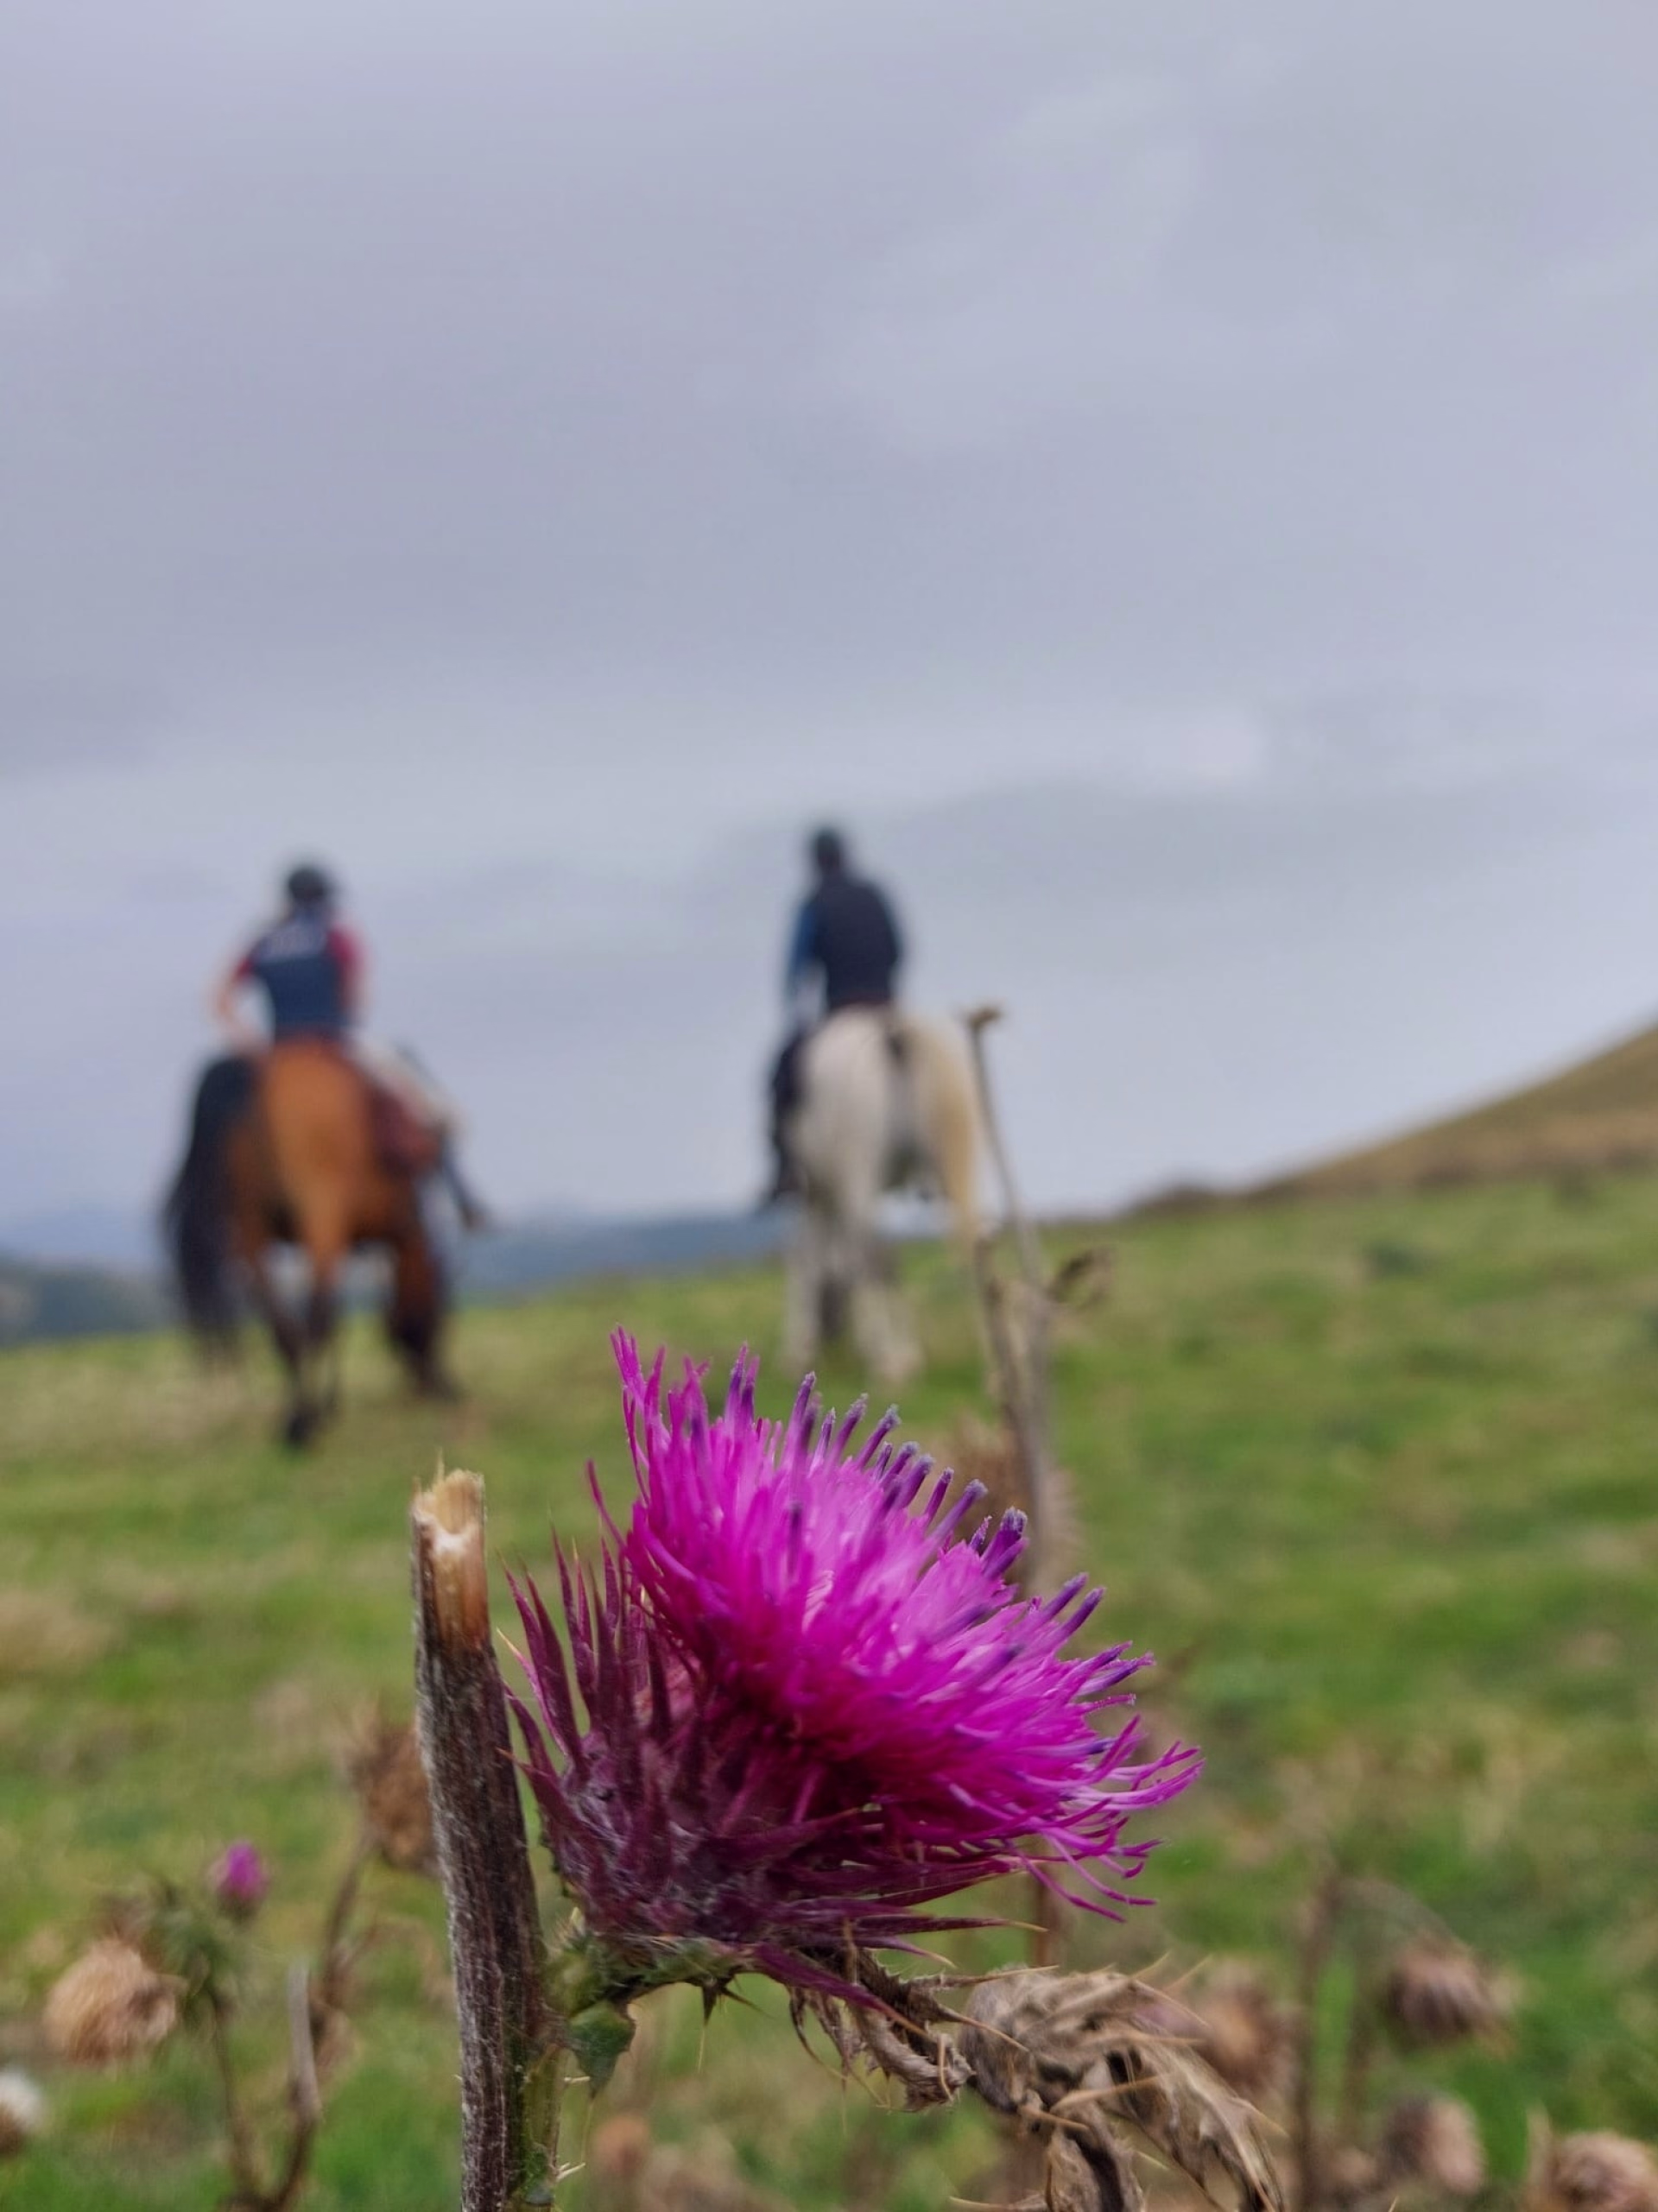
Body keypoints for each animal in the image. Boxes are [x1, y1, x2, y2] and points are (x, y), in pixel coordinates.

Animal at [164, 1040, 455, 1446]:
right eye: (441, 1314)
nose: (438, 1385)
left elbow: (337, 1318)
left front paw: (331, 1403)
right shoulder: (372, 1231)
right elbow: (333, 1314)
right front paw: (328, 1406)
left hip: (250, 1226)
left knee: (282, 1325)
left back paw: (295, 1417)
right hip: (320, 1209)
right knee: (315, 1316)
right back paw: (305, 1421)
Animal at [781, 1007, 983, 1384]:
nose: (833, 1334)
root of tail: (892, 1030)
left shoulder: (817, 1192)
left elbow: (809, 1260)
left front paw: (798, 1349)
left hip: (857, 1167)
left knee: (873, 1256)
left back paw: (888, 1359)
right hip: (952, 1164)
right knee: (971, 1243)